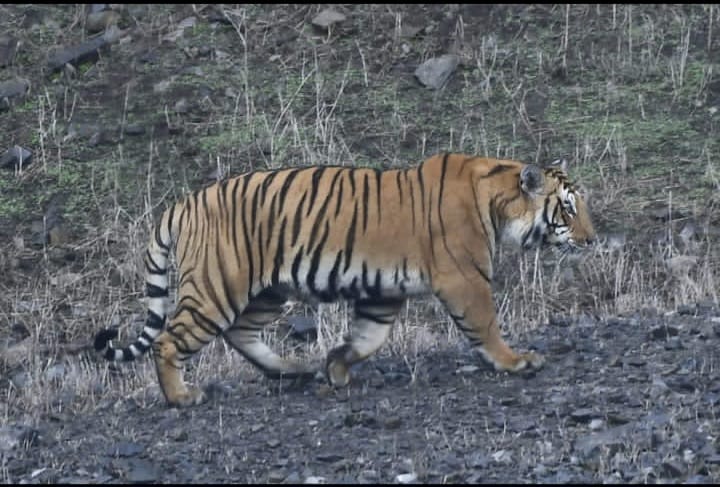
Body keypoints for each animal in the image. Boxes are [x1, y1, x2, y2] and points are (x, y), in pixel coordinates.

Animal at [94, 153, 596, 407]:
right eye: (568, 208)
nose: (593, 239)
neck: (496, 200)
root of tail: (185, 202)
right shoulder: (464, 279)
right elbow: (486, 326)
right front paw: (516, 362)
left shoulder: (384, 291)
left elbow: (368, 338)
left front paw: (336, 365)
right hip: (218, 287)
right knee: (168, 341)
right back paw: (182, 396)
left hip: (266, 290)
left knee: (240, 333)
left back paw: (293, 369)